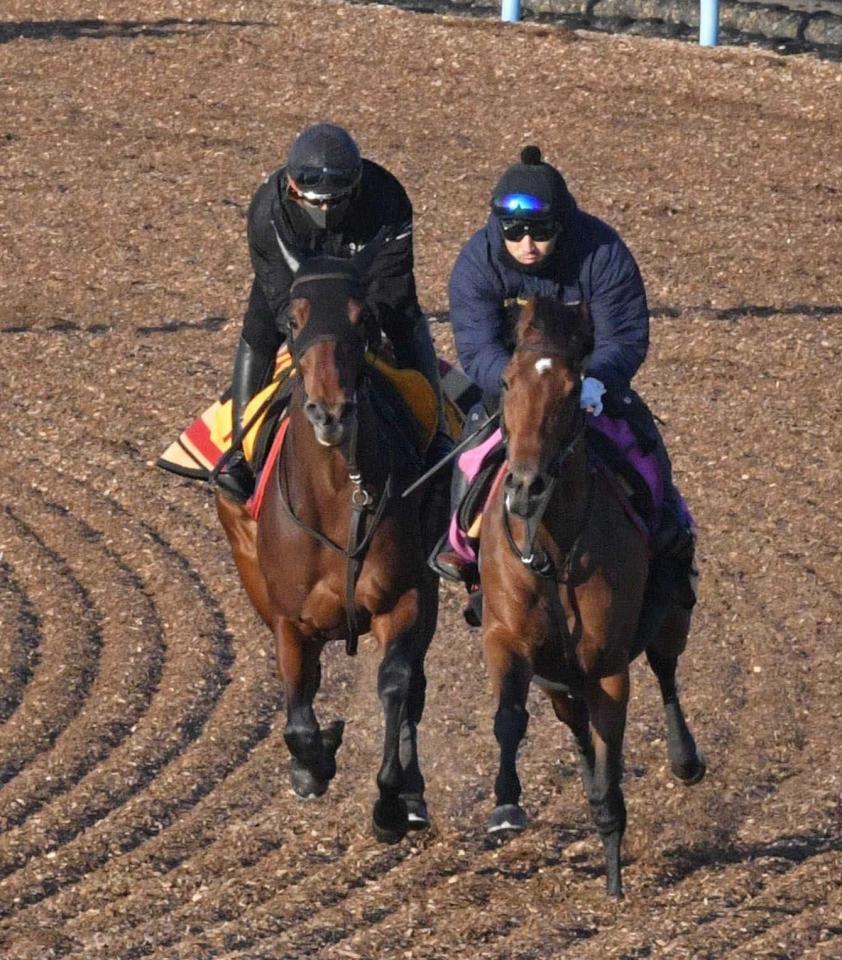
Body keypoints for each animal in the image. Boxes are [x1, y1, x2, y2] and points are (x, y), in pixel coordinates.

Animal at [215, 251, 442, 843]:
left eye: (364, 321)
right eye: (293, 322)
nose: (330, 412)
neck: (342, 497)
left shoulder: (404, 598)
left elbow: (396, 687)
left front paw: (392, 803)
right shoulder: (288, 620)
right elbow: (298, 714)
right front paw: (312, 764)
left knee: (413, 688)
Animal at [478, 296, 705, 897]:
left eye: (572, 387)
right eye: (506, 382)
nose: (526, 486)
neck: (552, 549)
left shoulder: (606, 665)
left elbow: (611, 763)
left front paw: (614, 880)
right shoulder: (508, 641)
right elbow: (509, 718)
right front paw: (505, 806)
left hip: (669, 614)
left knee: (666, 671)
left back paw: (685, 759)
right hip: (558, 677)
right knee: (575, 725)